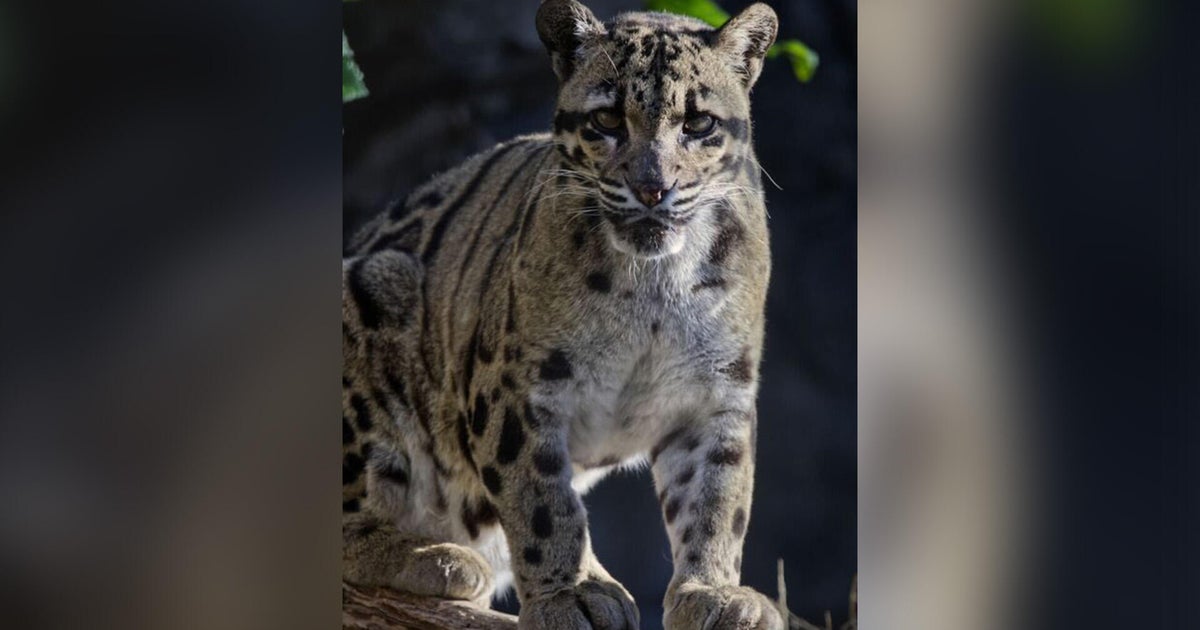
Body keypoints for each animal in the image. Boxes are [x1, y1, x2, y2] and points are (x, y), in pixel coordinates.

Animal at [342, 1, 781, 628]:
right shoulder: (518, 389)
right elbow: (543, 499)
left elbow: (718, 499)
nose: (653, 189)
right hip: (374, 284)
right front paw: (570, 592)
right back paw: (438, 559)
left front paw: (713, 592)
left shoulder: (719, 391)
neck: (655, 284)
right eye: (607, 120)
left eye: (698, 125)